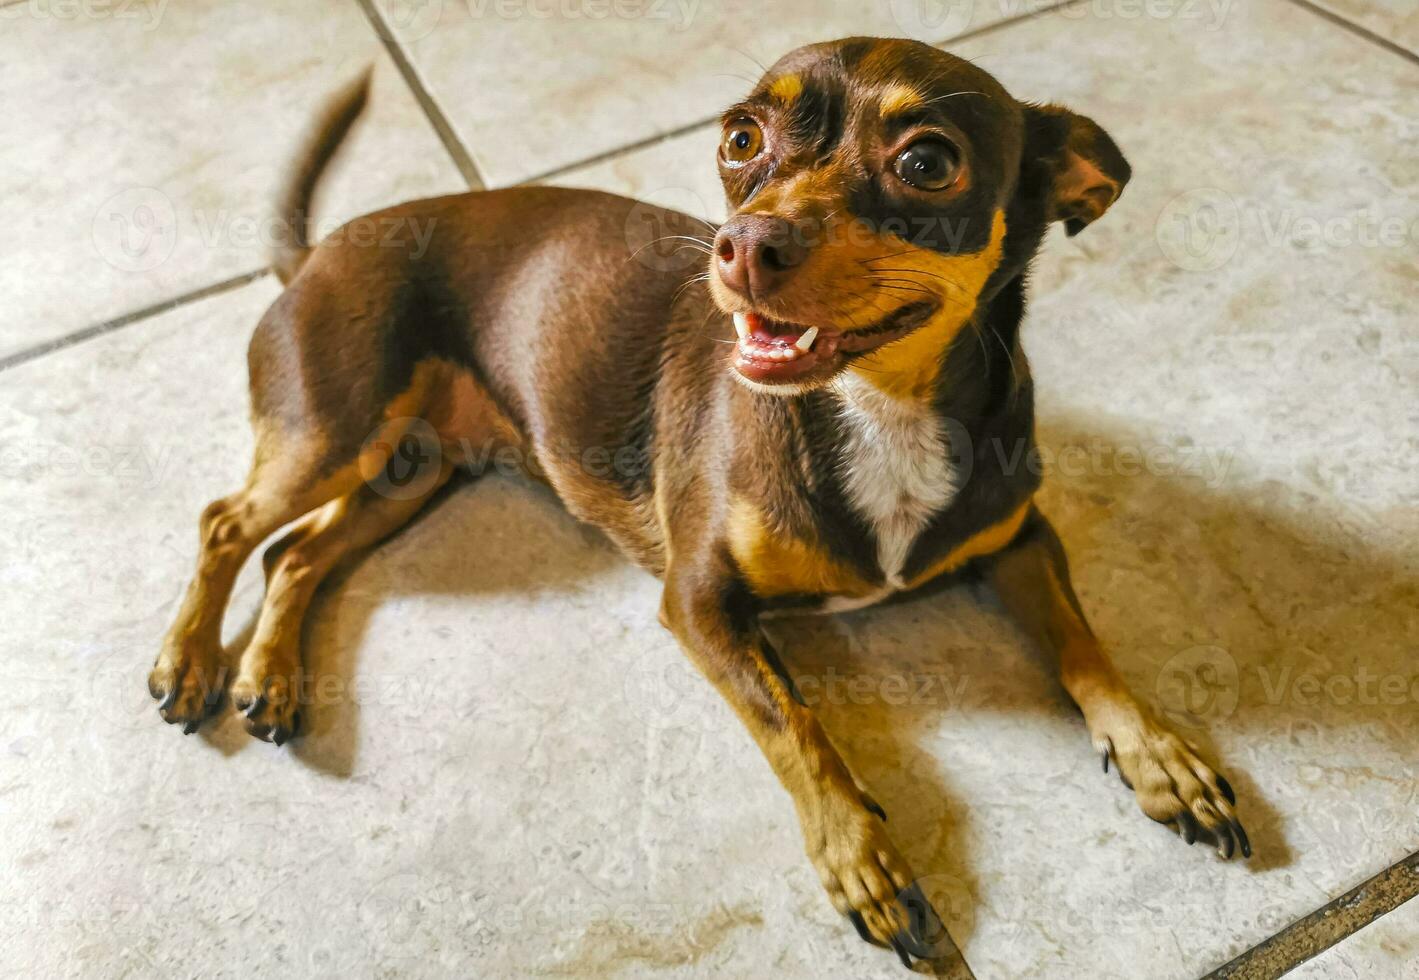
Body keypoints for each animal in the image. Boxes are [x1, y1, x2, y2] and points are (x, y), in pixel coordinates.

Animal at [146, 40, 1254, 975]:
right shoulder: (698, 601)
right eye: (740, 139)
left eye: (928, 162)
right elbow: (796, 722)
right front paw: (861, 857)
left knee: (296, 554)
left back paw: (272, 677)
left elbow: (1085, 643)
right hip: (333, 428)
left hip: (409, 468)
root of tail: (314, 254)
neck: (877, 408)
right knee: (226, 521)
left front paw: (1161, 753)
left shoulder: (1020, 537)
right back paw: (191, 663)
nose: (744, 244)